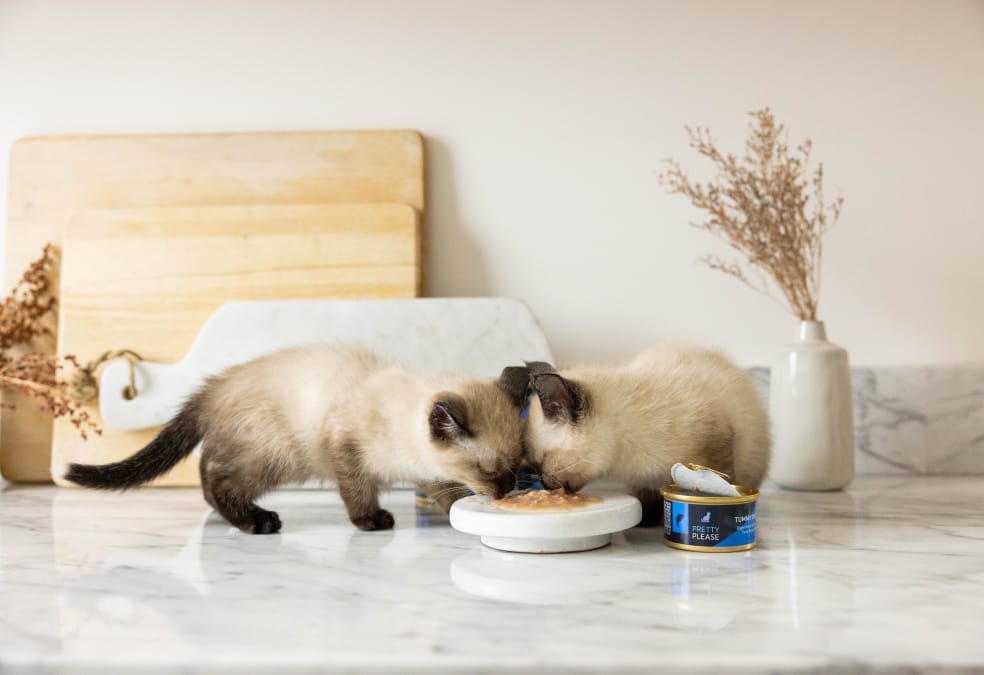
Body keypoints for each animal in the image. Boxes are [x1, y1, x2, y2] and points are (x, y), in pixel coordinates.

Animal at [59, 346, 532, 536]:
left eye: (517, 466)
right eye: (490, 470)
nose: (507, 489)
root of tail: (214, 385)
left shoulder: (429, 472)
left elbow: (447, 495)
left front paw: (458, 512)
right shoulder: (346, 449)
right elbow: (358, 493)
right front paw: (372, 521)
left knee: (207, 470)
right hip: (278, 455)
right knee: (215, 476)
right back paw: (257, 522)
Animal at [512, 346, 772, 524]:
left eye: (542, 463)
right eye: (534, 466)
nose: (544, 485)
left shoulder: (717, 443)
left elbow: (719, 487)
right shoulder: (644, 482)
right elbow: (645, 497)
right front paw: (646, 519)